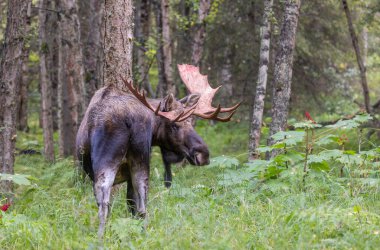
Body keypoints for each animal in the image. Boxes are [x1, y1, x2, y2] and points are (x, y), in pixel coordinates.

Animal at [75, 64, 239, 236]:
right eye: (174, 125)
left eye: (190, 121)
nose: (203, 154)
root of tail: (127, 120)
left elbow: (130, 201)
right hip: (134, 157)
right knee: (132, 201)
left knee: (113, 199)